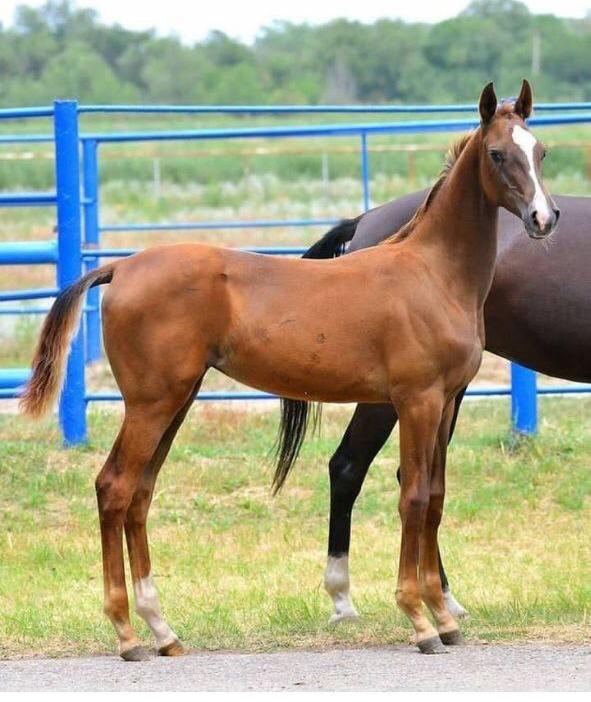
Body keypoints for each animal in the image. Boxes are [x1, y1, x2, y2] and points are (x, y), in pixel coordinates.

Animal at [20, 81, 556, 660]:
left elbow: (433, 498)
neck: (432, 273)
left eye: (541, 151)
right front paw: (419, 619)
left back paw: (161, 629)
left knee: (139, 493)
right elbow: (412, 497)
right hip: (151, 404)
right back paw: (126, 634)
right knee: (114, 488)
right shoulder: (418, 401)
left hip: (175, 401)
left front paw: (443, 615)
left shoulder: (446, 401)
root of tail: (120, 267)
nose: (543, 219)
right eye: (497, 154)